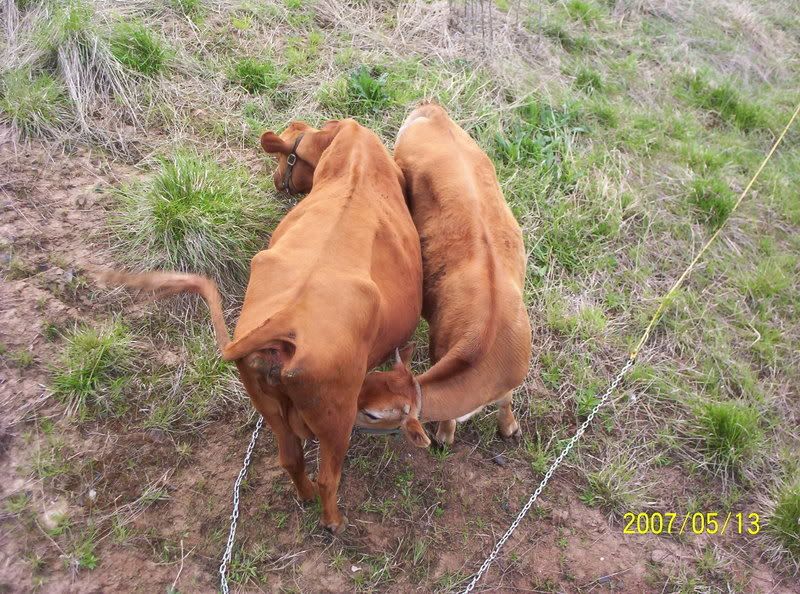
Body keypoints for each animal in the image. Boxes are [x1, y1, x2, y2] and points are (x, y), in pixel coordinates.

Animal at [103, 119, 423, 534]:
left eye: (283, 159)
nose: (275, 180)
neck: (353, 155)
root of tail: (286, 319)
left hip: (266, 404)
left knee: (291, 458)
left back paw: (304, 495)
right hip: (336, 418)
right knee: (327, 477)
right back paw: (333, 521)